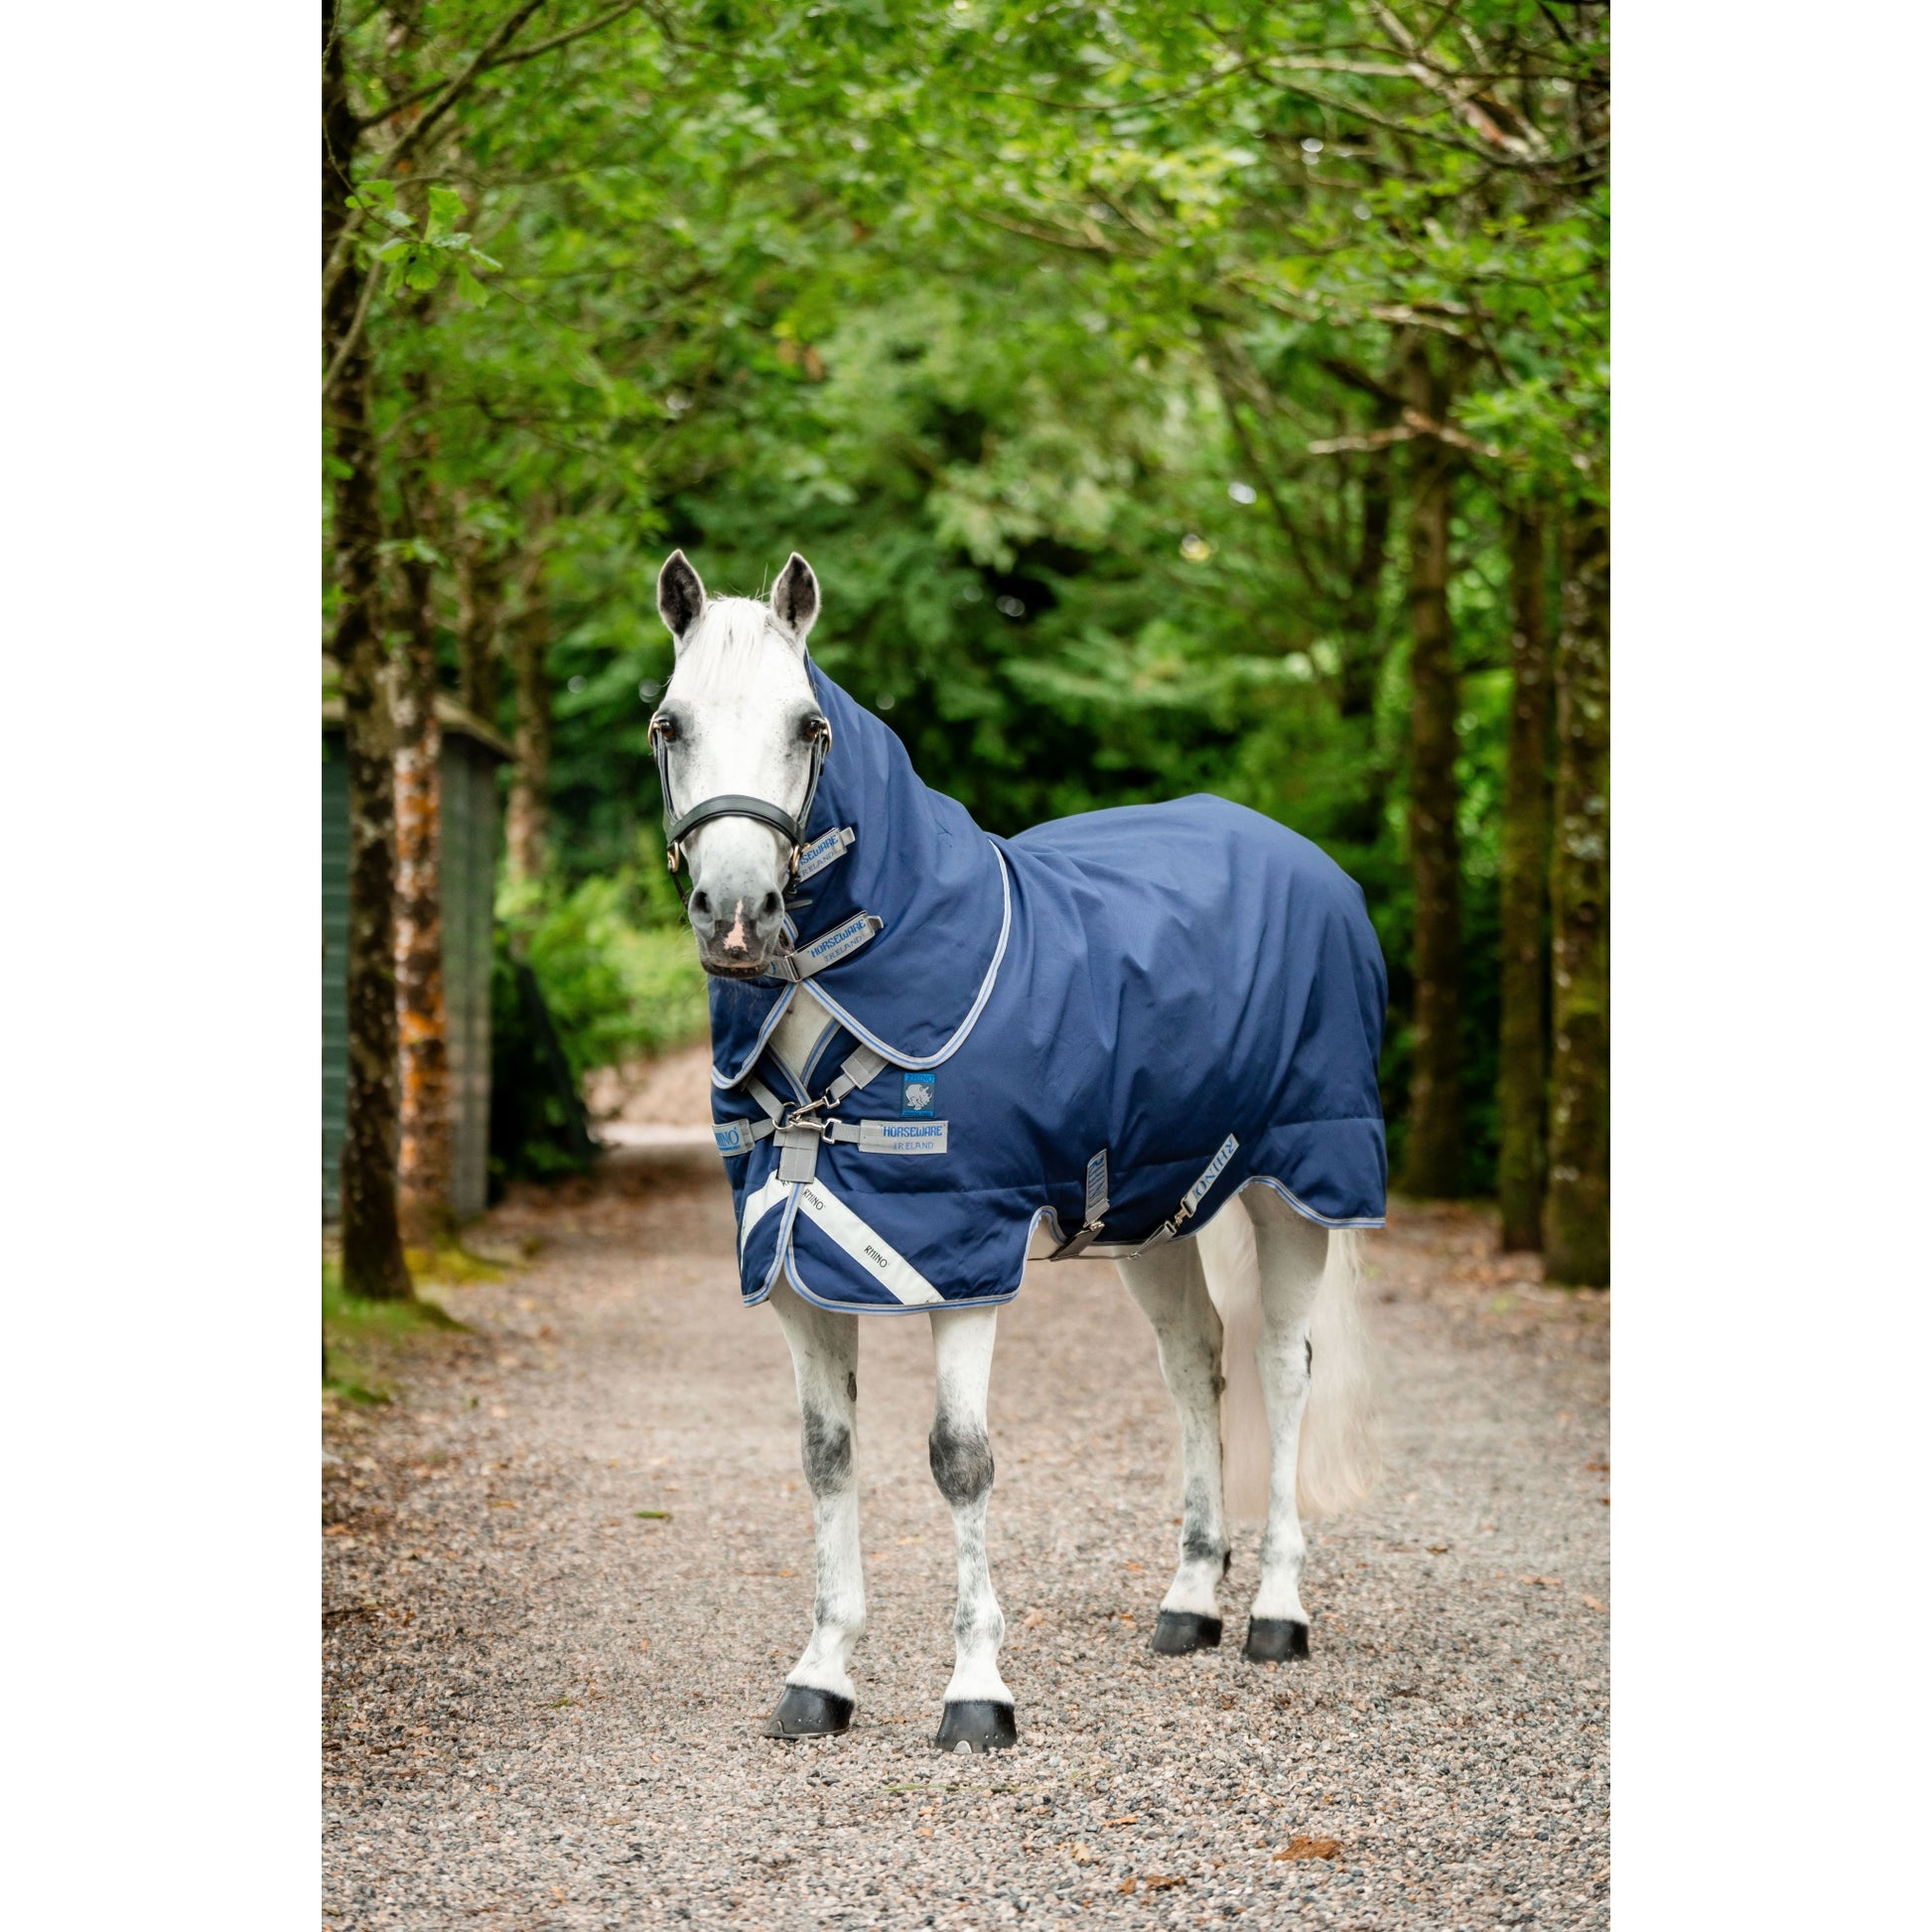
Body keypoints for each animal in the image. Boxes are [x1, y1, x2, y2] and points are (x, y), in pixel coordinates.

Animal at [649, 548, 1386, 1754]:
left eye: (810, 727)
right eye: (670, 723)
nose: (738, 915)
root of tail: (1309, 862)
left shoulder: (959, 1261)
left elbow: (959, 1459)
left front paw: (976, 1690)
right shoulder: (796, 1263)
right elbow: (826, 1455)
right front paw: (821, 1675)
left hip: (1297, 1185)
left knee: (1283, 1368)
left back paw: (1277, 1611)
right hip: (1153, 1212)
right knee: (1196, 1363)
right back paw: (1190, 1601)